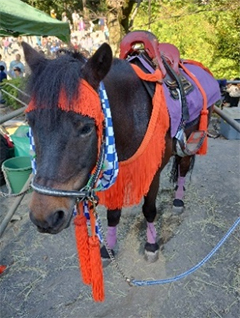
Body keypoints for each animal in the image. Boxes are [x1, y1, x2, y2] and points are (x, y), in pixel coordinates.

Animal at [21, 33, 220, 264]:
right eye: (30, 121)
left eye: (86, 128)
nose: (45, 217)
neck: (132, 108)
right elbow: (113, 214)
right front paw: (108, 249)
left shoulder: (152, 172)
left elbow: (149, 209)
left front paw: (151, 245)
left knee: (184, 166)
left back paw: (178, 200)